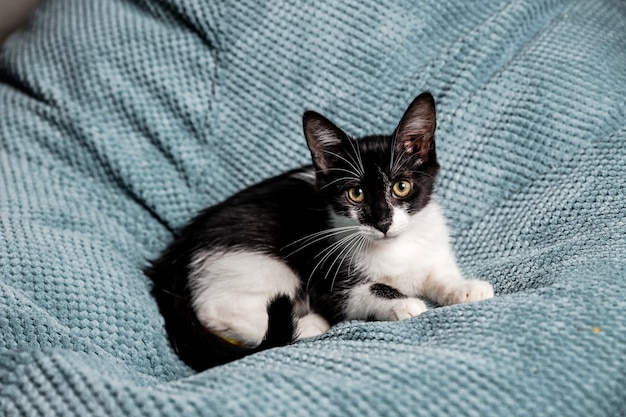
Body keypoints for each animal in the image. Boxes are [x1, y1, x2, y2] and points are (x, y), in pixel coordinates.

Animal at [146, 92, 492, 368]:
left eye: (401, 186)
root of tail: (175, 255)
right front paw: (402, 303)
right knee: (218, 310)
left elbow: (439, 273)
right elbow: (367, 291)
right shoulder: (329, 280)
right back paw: (309, 324)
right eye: (356, 194)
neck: (395, 248)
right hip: (253, 263)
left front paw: (464, 287)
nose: (382, 222)